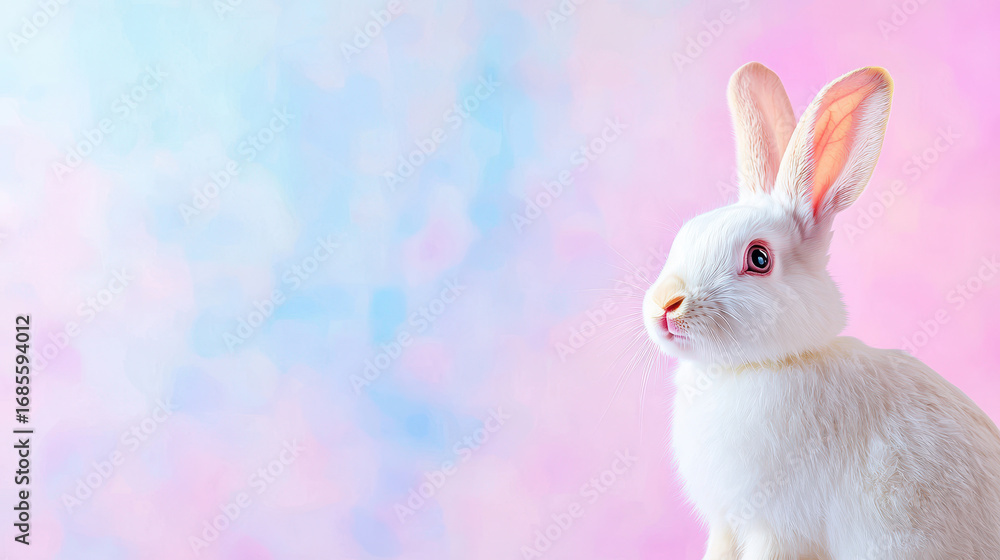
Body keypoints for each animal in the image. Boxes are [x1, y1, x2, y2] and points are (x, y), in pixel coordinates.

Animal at [642, 62, 1000, 559]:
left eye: (759, 258)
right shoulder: (727, 524)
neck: (751, 368)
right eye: (685, 234)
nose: (664, 305)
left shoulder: (777, 529)